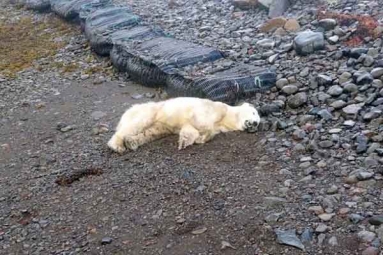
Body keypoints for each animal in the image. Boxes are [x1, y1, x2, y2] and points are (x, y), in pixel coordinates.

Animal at [106, 97, 260, 153]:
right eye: (254, 113)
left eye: (258, 123)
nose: (254, 124)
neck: (227, 118)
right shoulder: (215, 108)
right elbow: (201, 122)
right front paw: (200, 136)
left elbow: (190, 128)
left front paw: (187, 140)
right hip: (149, 111)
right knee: (137, 124)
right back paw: (117, 145)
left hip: (159, 125)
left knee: (151, 132)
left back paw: (131, 142)